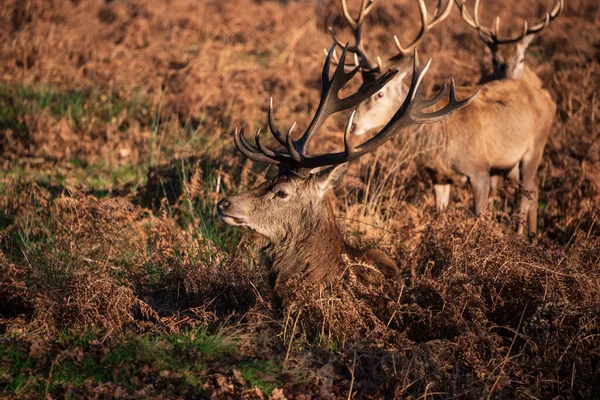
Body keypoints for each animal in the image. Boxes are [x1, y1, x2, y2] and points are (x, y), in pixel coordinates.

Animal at [328, 0, 556, 234]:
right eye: (361, 88)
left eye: (380, 93)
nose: (353, 125)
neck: (440, 143)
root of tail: (547, 97)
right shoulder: (438, 177)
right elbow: (439, 214)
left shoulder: (480, 169)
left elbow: (479, 216)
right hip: (510, 164)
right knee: (533, 189)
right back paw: (532, 235)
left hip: (535, 148)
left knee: (526, 193)